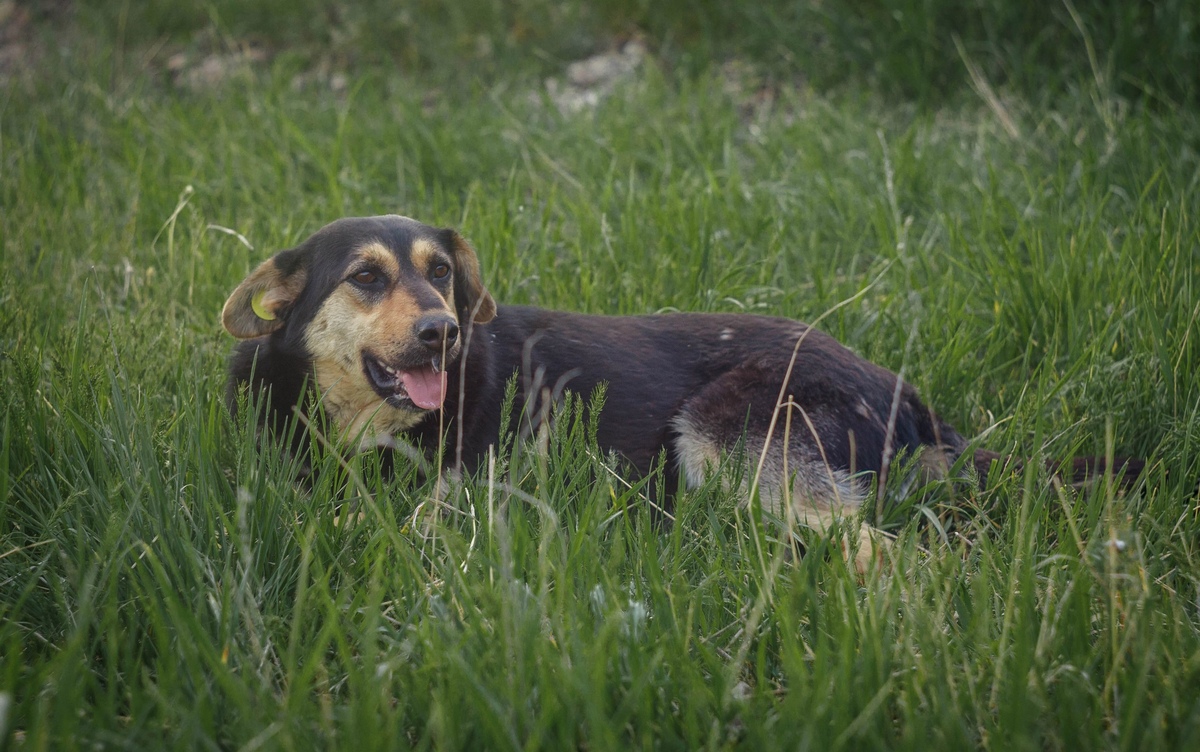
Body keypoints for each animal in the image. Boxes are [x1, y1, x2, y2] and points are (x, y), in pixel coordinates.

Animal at [220, 214, 1137, 568]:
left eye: (440, 272)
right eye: (367, 279)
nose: (444, 330)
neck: (355, 420)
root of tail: (914, 402)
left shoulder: (469, 489)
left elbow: (380, 520)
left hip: (729, 438)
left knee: (894, 549)